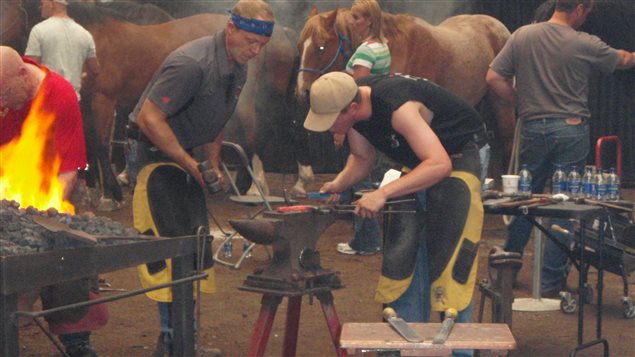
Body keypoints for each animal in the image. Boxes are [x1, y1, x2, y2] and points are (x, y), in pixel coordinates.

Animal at [294, 5, 516, 193]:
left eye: (321, 47)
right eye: (300, 47)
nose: (302, 92)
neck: (395, 48)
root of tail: (497, 26)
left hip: (500, 103)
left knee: (506, 138)